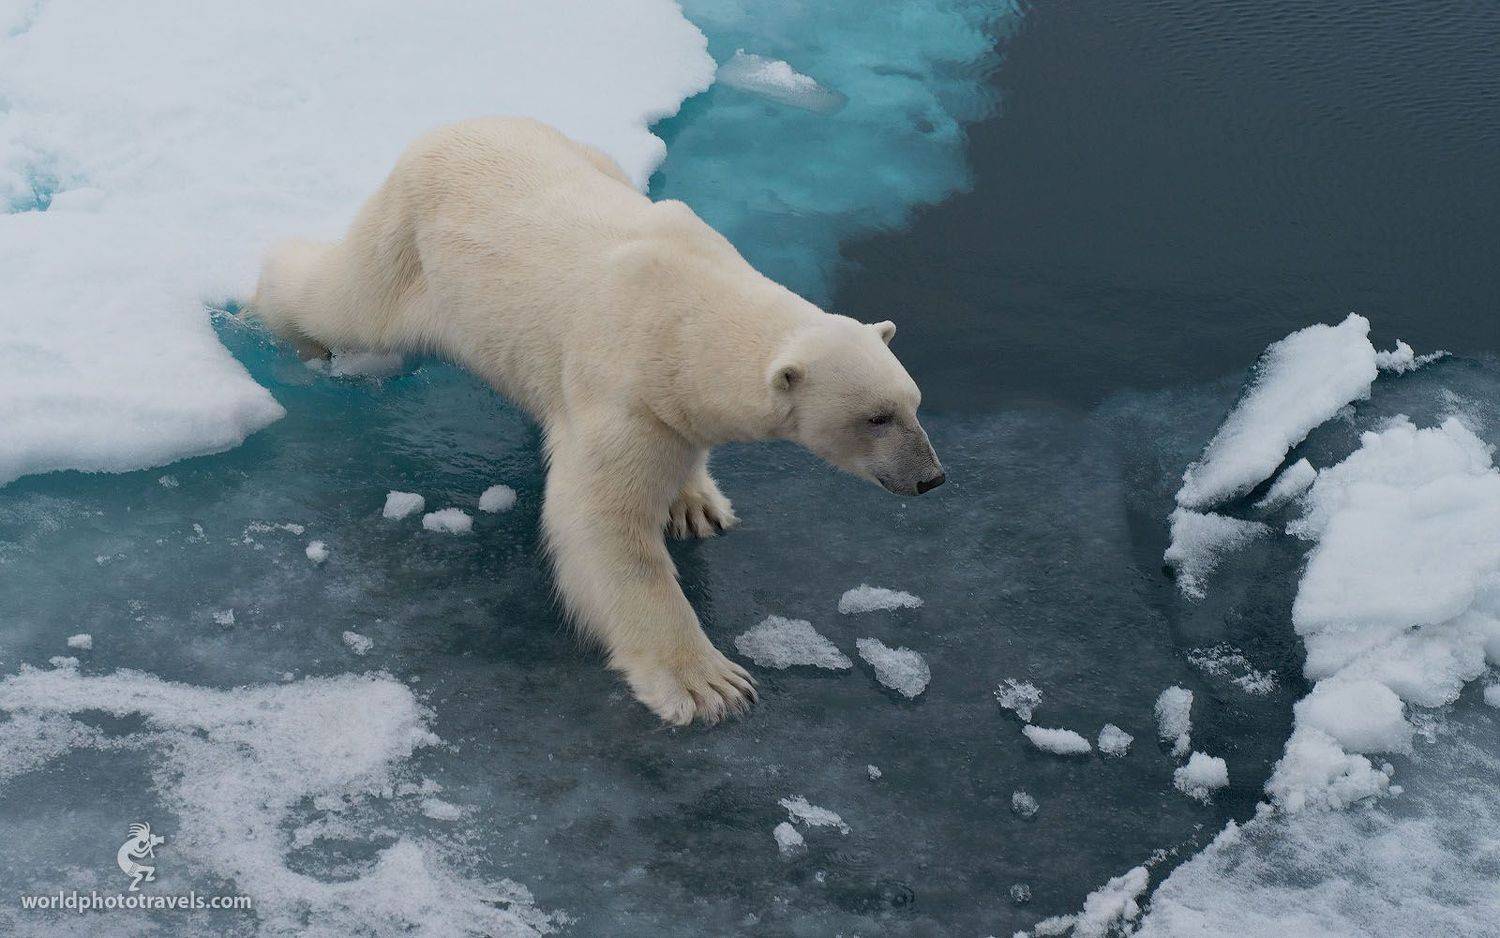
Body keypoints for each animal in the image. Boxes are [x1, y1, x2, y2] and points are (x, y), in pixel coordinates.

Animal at [252, 117, 945, 725]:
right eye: (876, 417)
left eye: (914, 403)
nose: (931, 478)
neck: (685, 309)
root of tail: (446, 129)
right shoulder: (620, 385)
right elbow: (602, 522)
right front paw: (709, 685)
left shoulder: (667, 397)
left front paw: (695, 504)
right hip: (407, 244)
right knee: (342, 300)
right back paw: (282, 323)